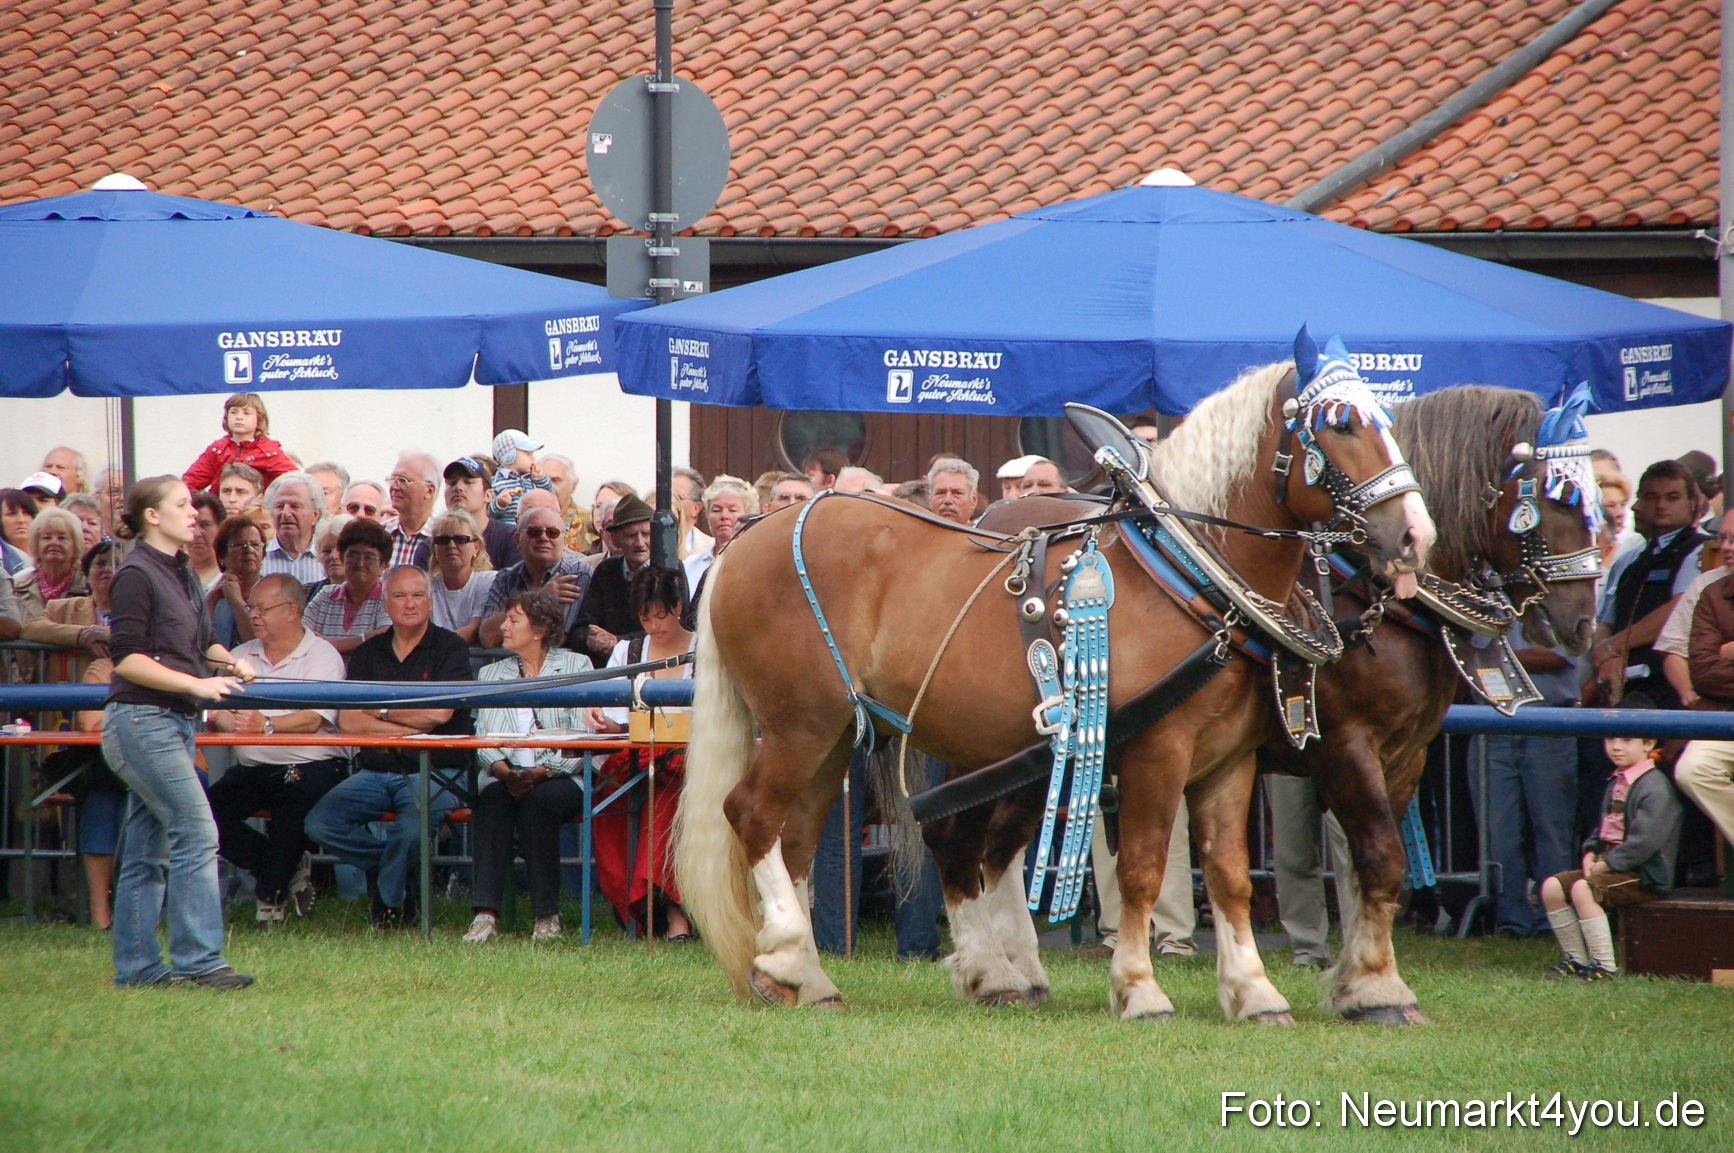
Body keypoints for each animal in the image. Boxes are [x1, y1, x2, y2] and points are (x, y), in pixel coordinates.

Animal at [675, 356, 1436, 1020]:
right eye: (1340, 425)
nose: (1413, 533)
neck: (1187, 571)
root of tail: (748, 539)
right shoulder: (1161, 749)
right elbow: (1143, 867)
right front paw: (1139, 990)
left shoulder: (1228, 760)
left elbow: (1230, 875)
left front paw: (1254, 992)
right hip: (799, 723)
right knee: (752, 814)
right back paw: (791, 954)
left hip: (838, 731)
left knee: (800, 835)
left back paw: (807, 975)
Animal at [1257, 385, 1600, 1024]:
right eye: (1560, 501)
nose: (1586, 622)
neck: (1374, 596)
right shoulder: (1347, 747)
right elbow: (1383, 856)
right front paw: (1379, 993)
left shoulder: (1405, 753)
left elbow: (1371, 870)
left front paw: (1364, 982)